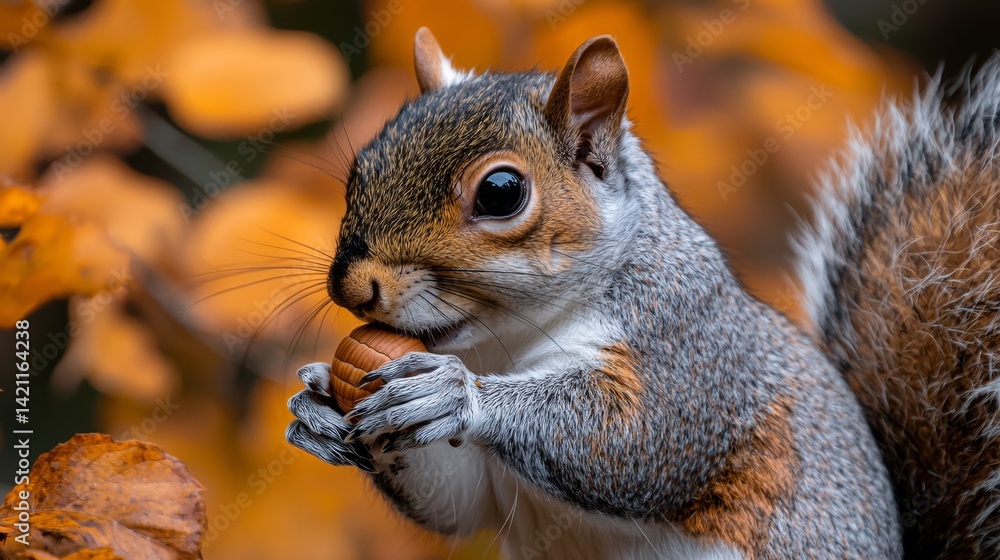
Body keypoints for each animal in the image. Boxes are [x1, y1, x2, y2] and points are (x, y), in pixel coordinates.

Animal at [286, 27, 1000, 559]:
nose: (351, 284)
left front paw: (456, 393)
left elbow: (639, 438)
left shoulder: (693, 347)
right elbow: (458, 503)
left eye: (501, 192)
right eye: (360, 167)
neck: (504, 344)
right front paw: (319, 405)